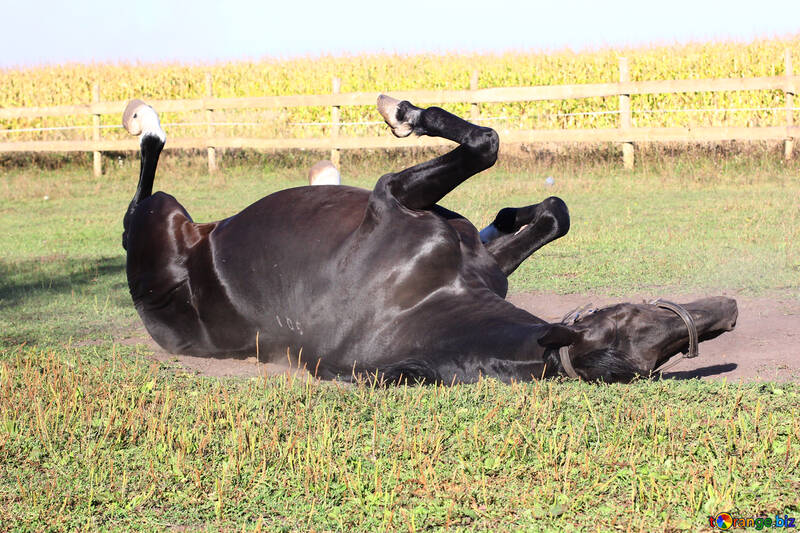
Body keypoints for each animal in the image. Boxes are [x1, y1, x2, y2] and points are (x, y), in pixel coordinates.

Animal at [120, 94, 736, 382]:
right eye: (631, 315)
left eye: (663, 354)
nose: (727, 312)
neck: (426, 296)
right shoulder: (395, 196)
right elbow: (487, 145)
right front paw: (403, 114)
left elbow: (548, 212)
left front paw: (505, 215)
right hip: (162, 215)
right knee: (140, 188)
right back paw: (145, 120)